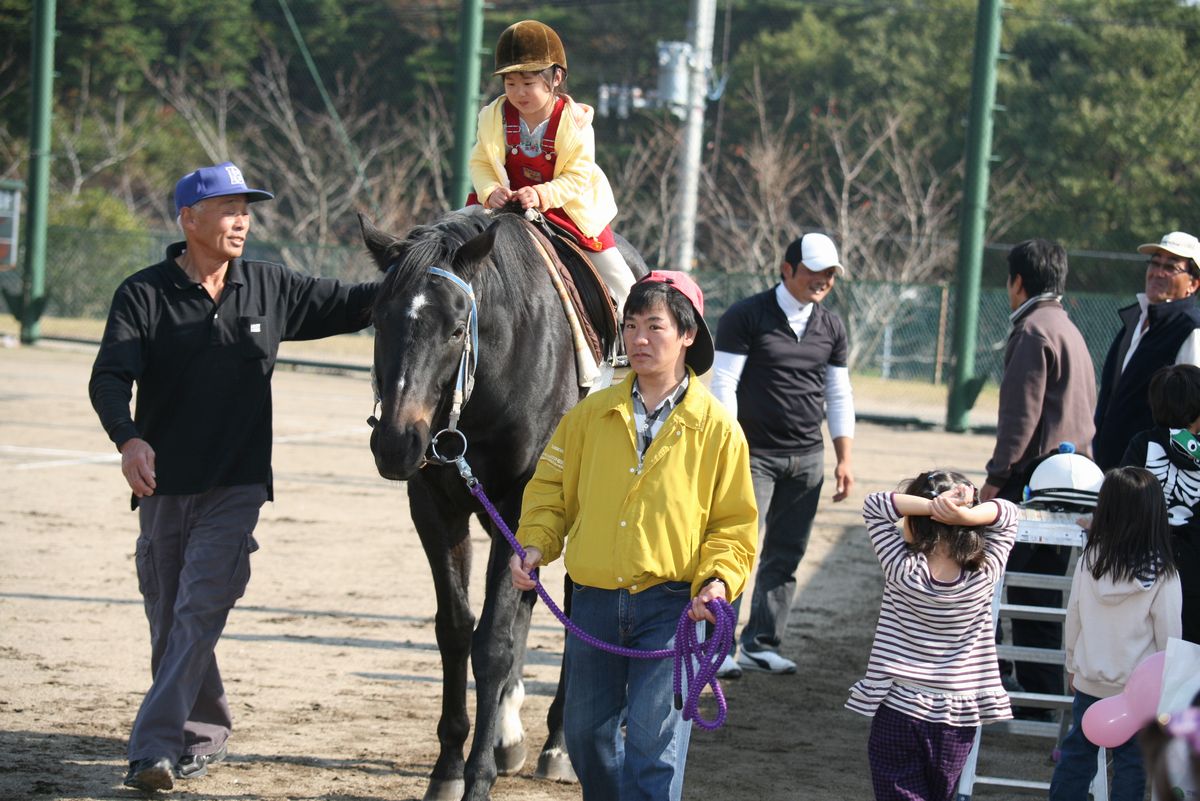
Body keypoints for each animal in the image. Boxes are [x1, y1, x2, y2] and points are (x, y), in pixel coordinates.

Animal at [360, 208, 648, 801]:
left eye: (454, 328)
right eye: (379, 319)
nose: (395, 442)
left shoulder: (517, 504)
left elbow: (492, 641)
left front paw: (477, 777)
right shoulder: (435, 506)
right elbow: (456, 628)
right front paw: (449, 766)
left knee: (575, 610)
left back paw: (558, 744)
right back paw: (510, 735)